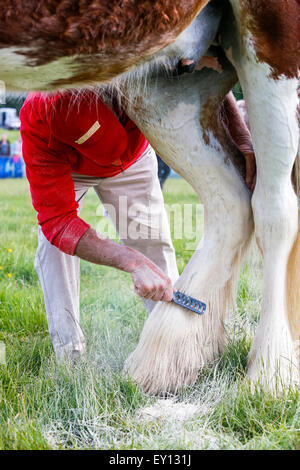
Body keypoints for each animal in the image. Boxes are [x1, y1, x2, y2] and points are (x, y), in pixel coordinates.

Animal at [1, 0, 298, 392]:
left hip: (273, 48)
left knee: (274, 211)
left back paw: (268, 374)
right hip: (166, 88)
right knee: (231, 201)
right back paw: (167, 357)